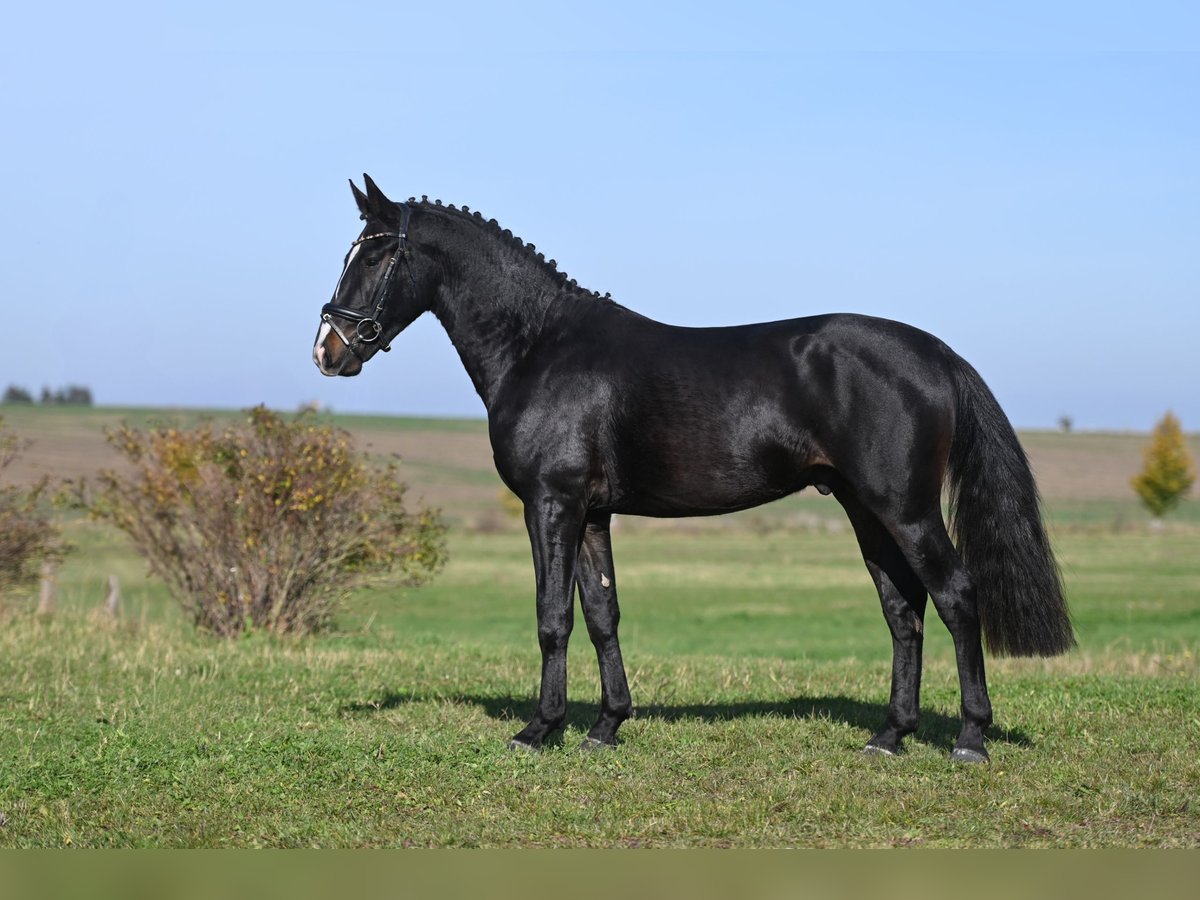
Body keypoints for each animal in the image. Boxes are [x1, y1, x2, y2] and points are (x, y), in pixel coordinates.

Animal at [314, 174, 1075, 763]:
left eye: (377, 254)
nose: (329, 348)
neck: (540, 345)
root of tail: (938, 354)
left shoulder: (551, 503)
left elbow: (552, 616)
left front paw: (539, 730)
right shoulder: (592, 513)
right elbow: (603, 614)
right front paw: (605, 727)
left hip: (906, 508)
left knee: (955, 596)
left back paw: (970, 739)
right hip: (865, 509)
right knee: (903, 609)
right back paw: (890, 736)